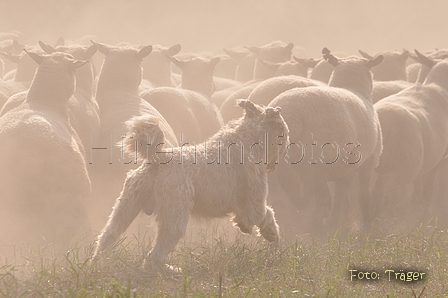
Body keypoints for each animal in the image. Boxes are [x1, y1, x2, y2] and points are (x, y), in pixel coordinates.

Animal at [92, 99, 288, 270]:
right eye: (282, 130)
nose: (286, 149)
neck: (246, 140)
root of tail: (158, 159)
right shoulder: (255, 203)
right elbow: (267, 216)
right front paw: (272, 236)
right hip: (174, 215)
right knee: (154, 257)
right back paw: (170, 270)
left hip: (126, 206)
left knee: (107, 236)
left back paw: (97, 264)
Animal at [268, 48, 384, 230]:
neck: (352, 87)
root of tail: (292, 113)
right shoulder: (368, 162)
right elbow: (361, 195)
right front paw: (366, 223)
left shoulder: (347, 166)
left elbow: (342, 192)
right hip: (317, 158)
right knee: (318, 193)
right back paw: (318, 221)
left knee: (289, 190)